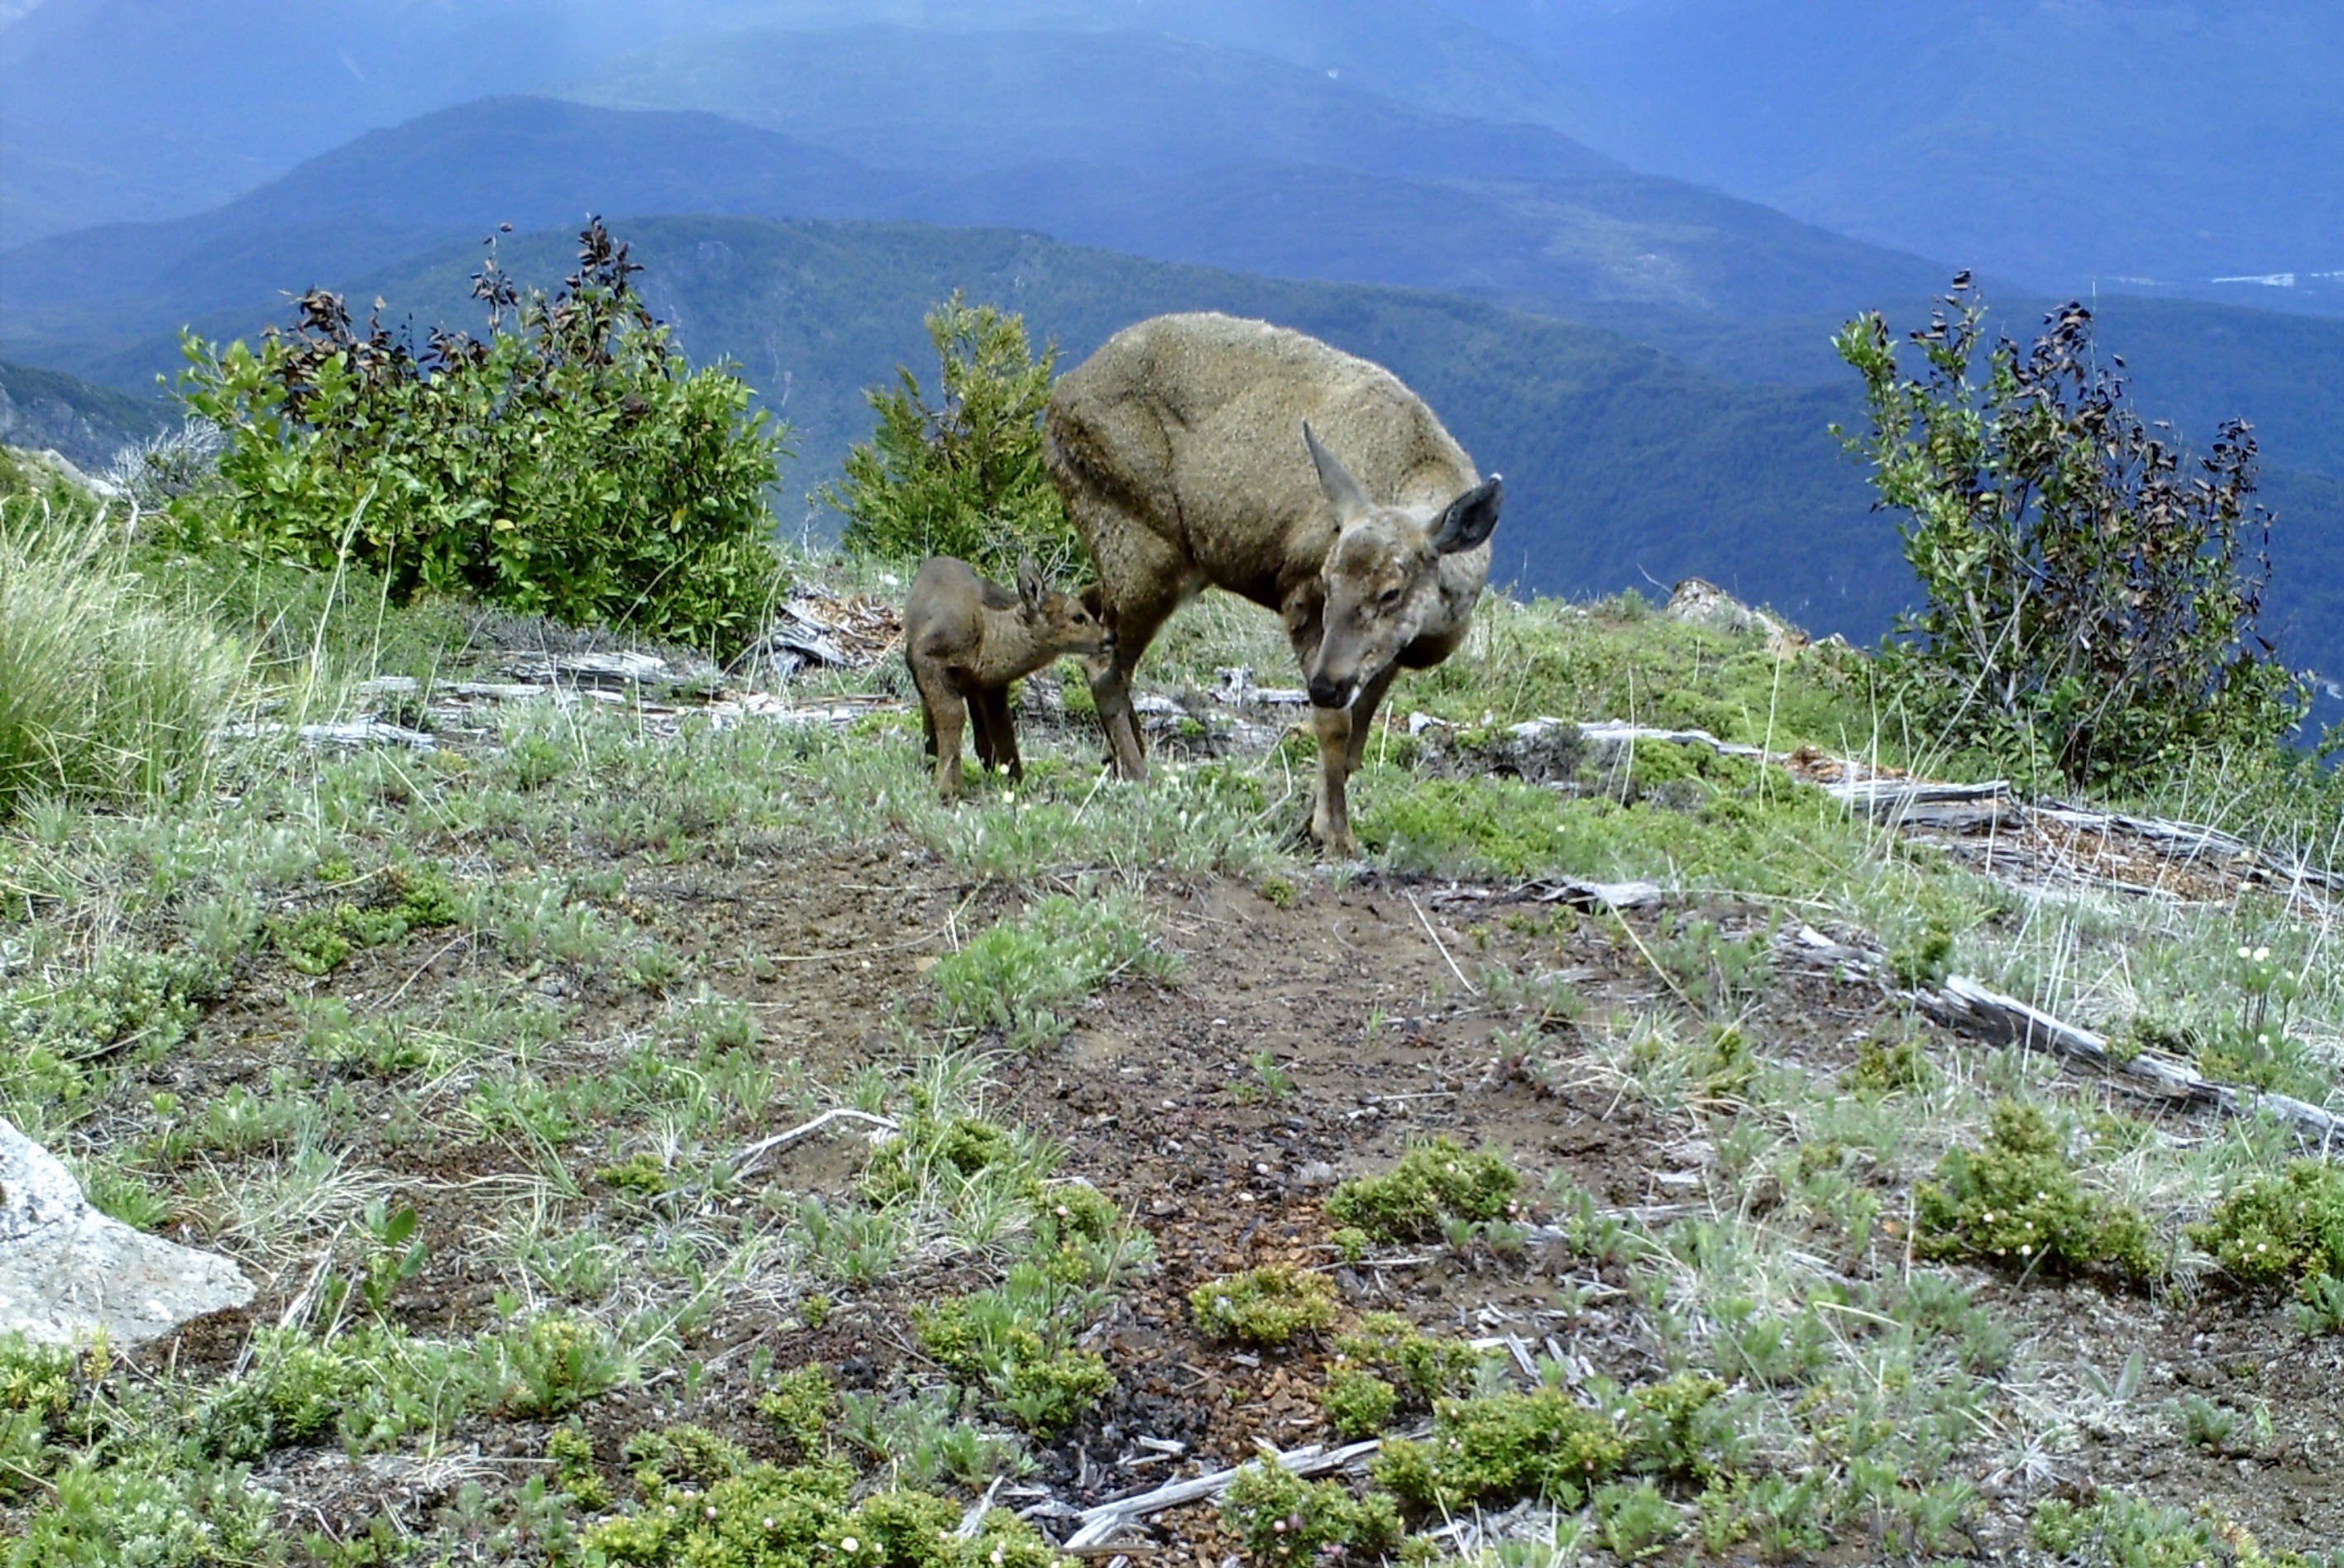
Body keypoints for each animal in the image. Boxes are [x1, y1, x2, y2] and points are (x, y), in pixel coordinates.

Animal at [1045, 309, 1500, 858]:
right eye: (1327, 577)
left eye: (1391, 592)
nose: (1326, 684)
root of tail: (1055, 406)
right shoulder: (1297, 590)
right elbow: (1334, 727)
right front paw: (1335, 835)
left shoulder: (1387, 654)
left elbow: (1357, 739)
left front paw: (1316, 820)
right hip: (1138, 544)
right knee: (1104, 666)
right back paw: (1137, 773)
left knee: (1088, 616)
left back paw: (1122, 758)